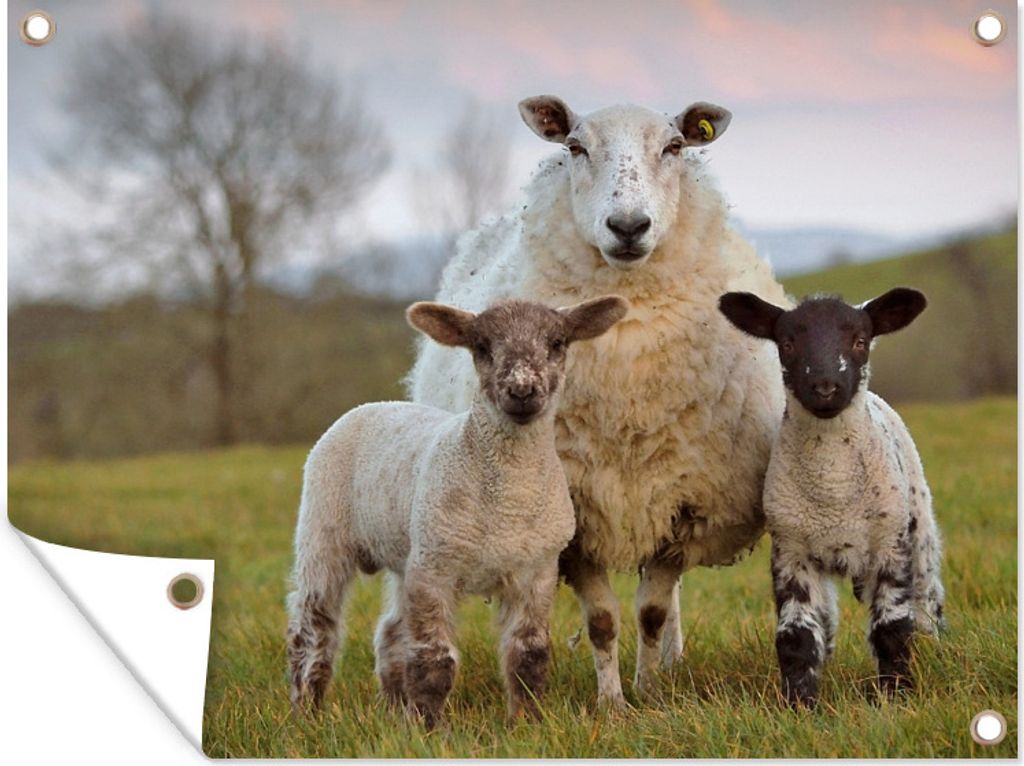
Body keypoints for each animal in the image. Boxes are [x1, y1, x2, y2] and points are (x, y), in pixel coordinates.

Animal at [287, 295, 629, 727]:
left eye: (556, 342)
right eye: (481, 346)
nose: (522, 390)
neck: (508, 500)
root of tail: (376, 404)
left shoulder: (536, 571)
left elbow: (529, 654)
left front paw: (527, 721)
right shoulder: (435, 569)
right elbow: (434, 659)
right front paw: (428, 727)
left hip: (407, 550)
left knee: (390, 632)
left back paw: (393, 707)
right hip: (323, 528)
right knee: (313, 627)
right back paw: (306, 708)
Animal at [408, 95, 788, 704]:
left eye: (674, 147)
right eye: (575, 147)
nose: (628, 226)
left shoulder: (680, 503)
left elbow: (652, 611)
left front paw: (650, 692)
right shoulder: (576, 515)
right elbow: (603, 621)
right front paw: (611, 702)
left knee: (668, 603)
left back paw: (672, 663)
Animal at [718, 287, 945, 706]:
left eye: (860, 341)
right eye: (787, 344)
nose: (825, 388)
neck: (833, 489)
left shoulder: (891, 547)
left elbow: (892, 628)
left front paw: (897, 697)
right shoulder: (791, 552)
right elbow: (797, 636)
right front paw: (800, 704)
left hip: (919, 532)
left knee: (926, 608)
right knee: (826, 622)